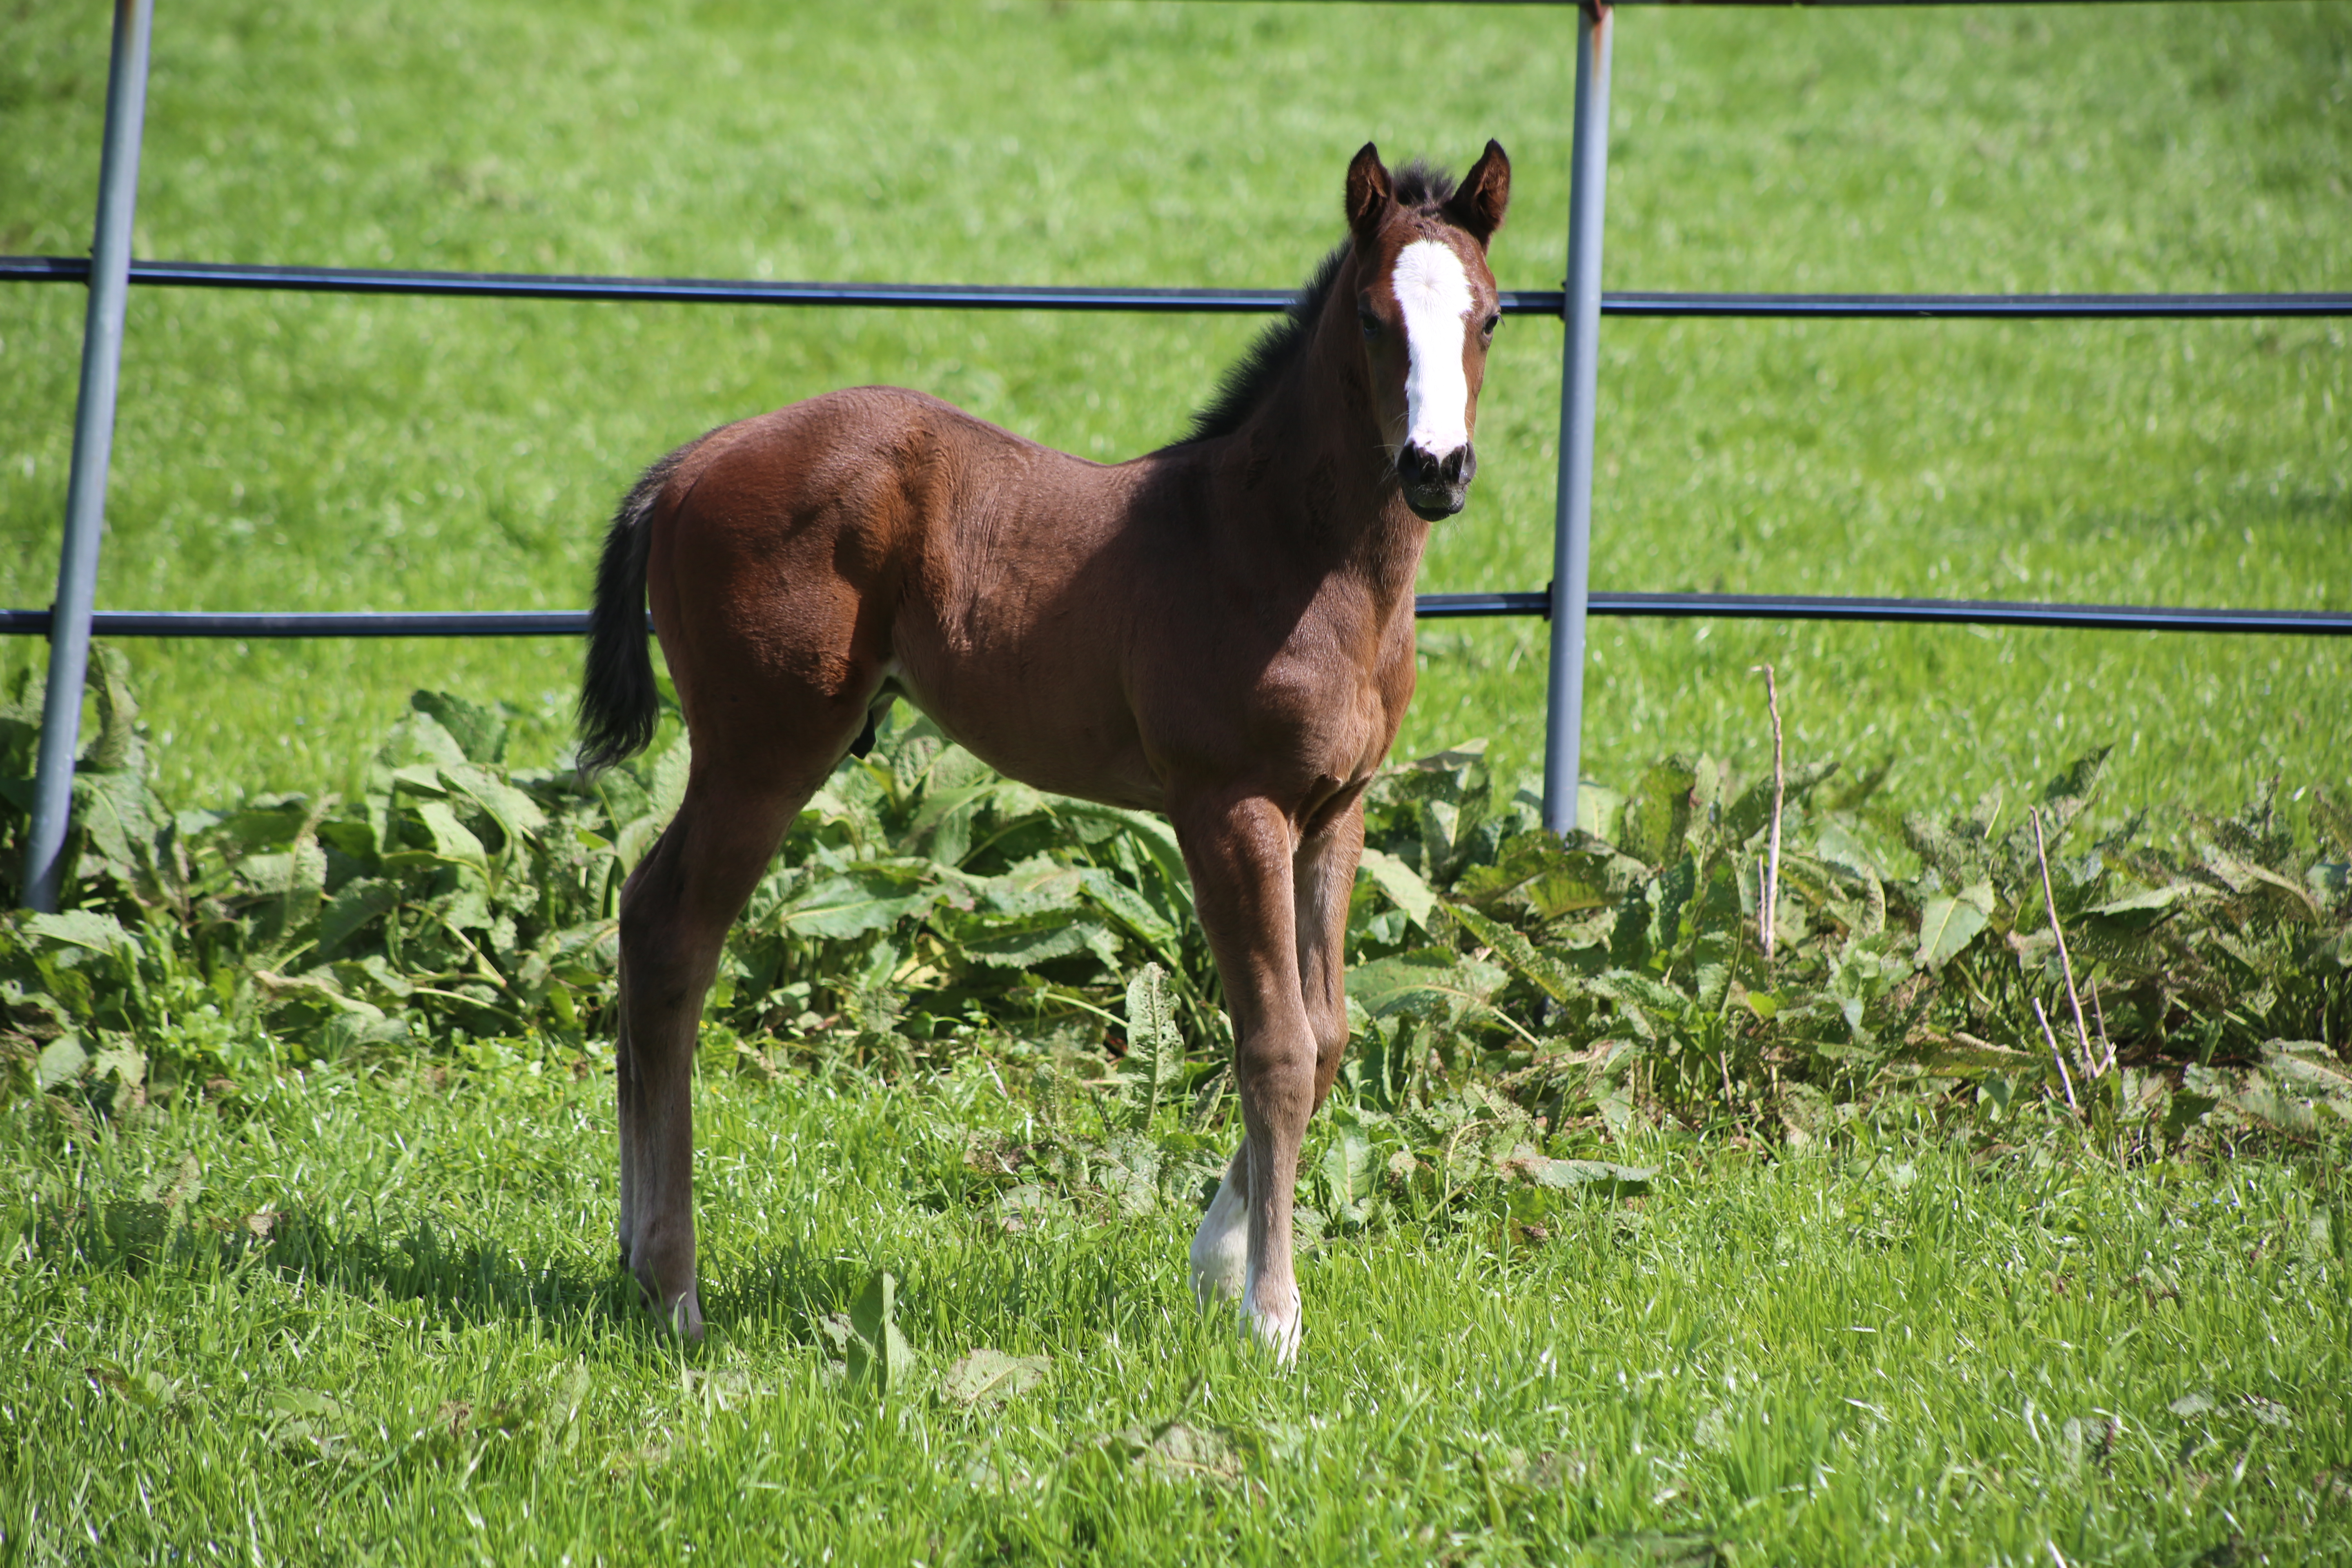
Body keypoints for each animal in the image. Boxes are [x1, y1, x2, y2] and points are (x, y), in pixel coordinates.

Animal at [578, 141, 1515, 1354]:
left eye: (1490, 316)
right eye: (1370, 315)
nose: (1434, 466)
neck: (1281, 550)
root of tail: (692, 462)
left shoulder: (1335, 810)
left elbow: (1328, 1035)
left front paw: (1216, 1261)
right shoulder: (1228, 807)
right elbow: (1273, 1045)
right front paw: (1270, 1313)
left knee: (646, 917)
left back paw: (634, 1256)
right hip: (765, 750)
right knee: (673, 935)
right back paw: (676, 1287)